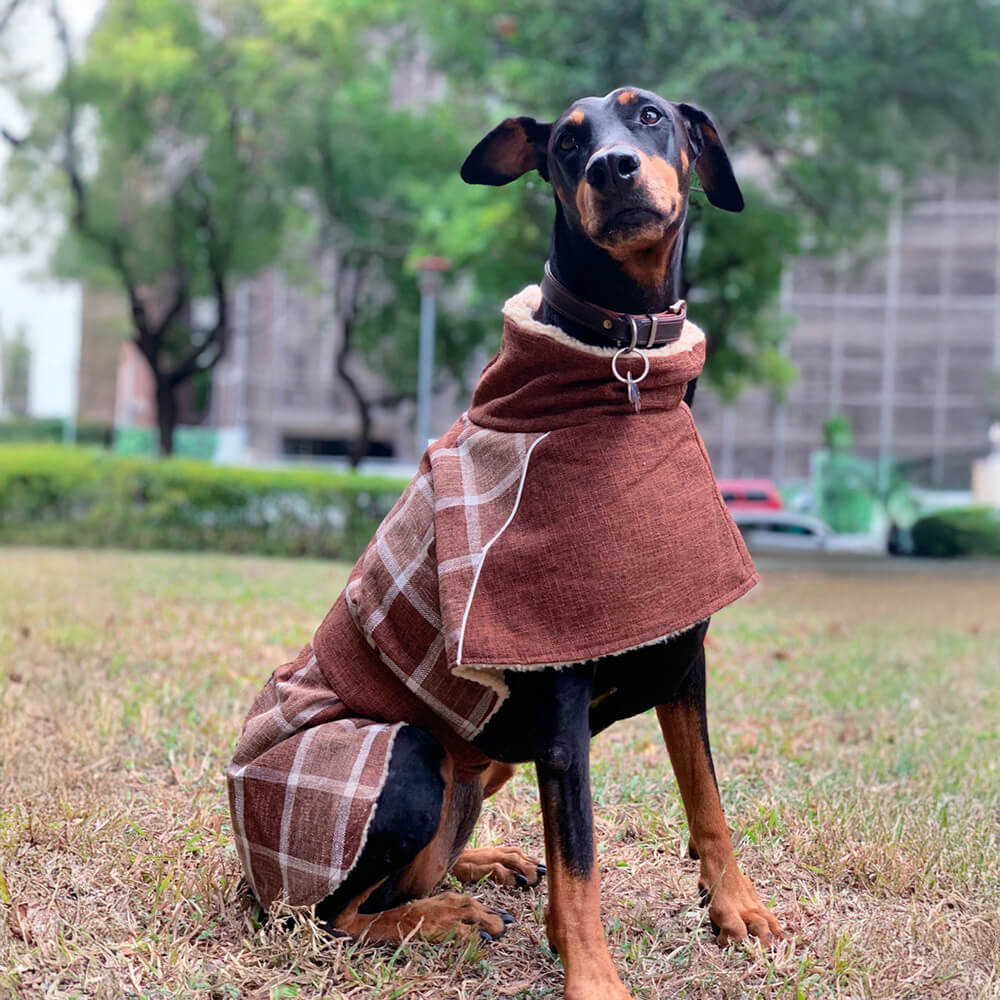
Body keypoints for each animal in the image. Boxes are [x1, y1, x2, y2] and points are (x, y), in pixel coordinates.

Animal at [230, 88, 784, 1000]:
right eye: (566, 143)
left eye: (651, 116)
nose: (612, 168)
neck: (619, 356)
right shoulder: (557, 699)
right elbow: (583, 858)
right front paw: (593, 978)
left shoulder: (680, 659)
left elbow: (706, 796)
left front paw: (736, 906)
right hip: (405, 757)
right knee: (331, 914)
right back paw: (444, 917)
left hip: (481, 758)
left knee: (416, 870)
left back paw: (481, 866)